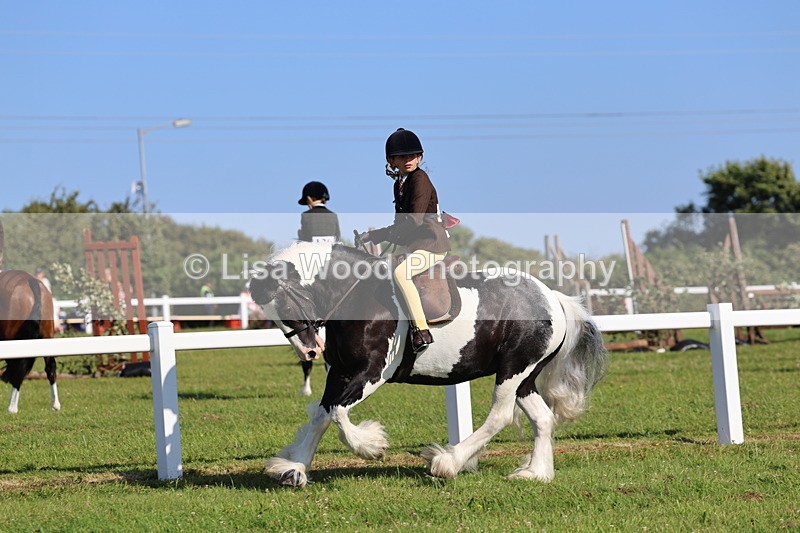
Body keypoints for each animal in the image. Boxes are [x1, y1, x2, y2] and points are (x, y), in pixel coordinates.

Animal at [0, 270, 61, 414]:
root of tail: (32, 283)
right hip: (47, 337)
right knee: (50, 367)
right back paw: (55, 404)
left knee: (18, 369)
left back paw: (12, 407)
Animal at [249, 241, 608, 488]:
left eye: (284, 305)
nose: (309, 352)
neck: (357, 297)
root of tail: (553, 298)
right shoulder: (340, 372)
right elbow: (322, 415)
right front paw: (293, 468)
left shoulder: (371, 373)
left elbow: (337, 412)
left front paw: (372, 446)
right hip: (525, 378)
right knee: (543, 419)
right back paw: (535, 473)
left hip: (512, 371)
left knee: (501, 416)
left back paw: (447, 462)